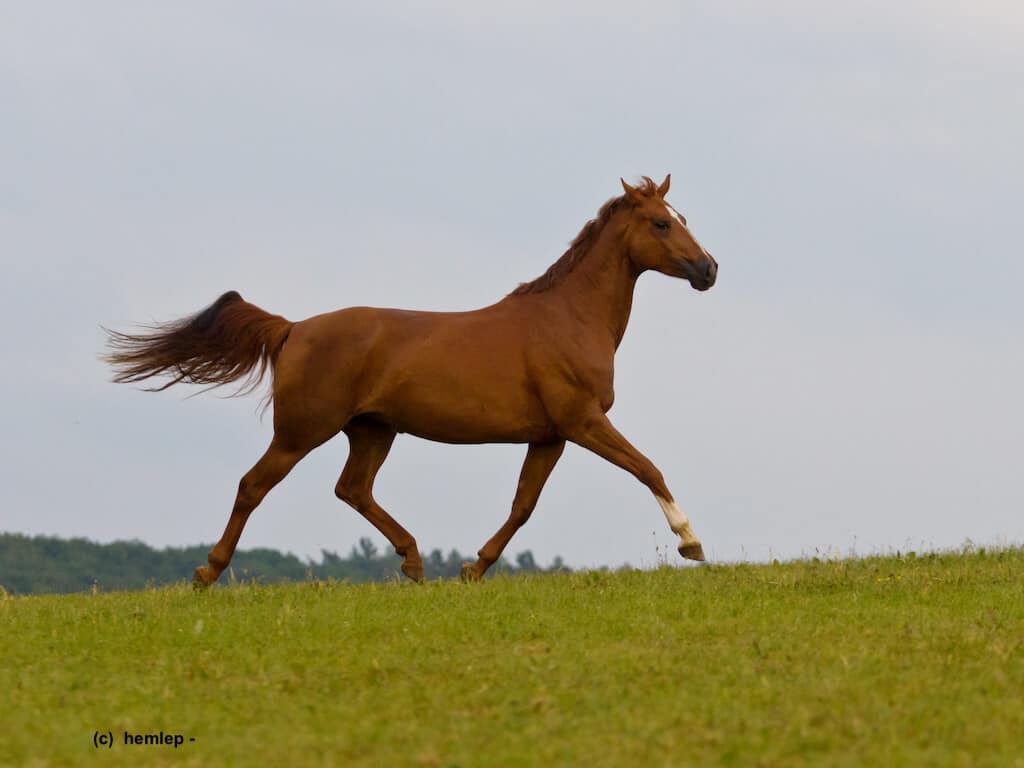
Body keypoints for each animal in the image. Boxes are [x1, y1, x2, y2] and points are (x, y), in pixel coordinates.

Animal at [104, 174, 718, 586]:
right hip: (301, 432)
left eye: (685, 218)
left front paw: (473, 568)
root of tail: (293, 328)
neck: (568, 319)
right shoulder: (583, 421)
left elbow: (523, 505)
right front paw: (691, 543)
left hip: (372, 430)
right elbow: (647, 468)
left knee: (353, 489)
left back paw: (414, 561)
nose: (709, 270)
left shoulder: (550, 436)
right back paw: (208, 573)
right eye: (662, 222)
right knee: (254, 485)